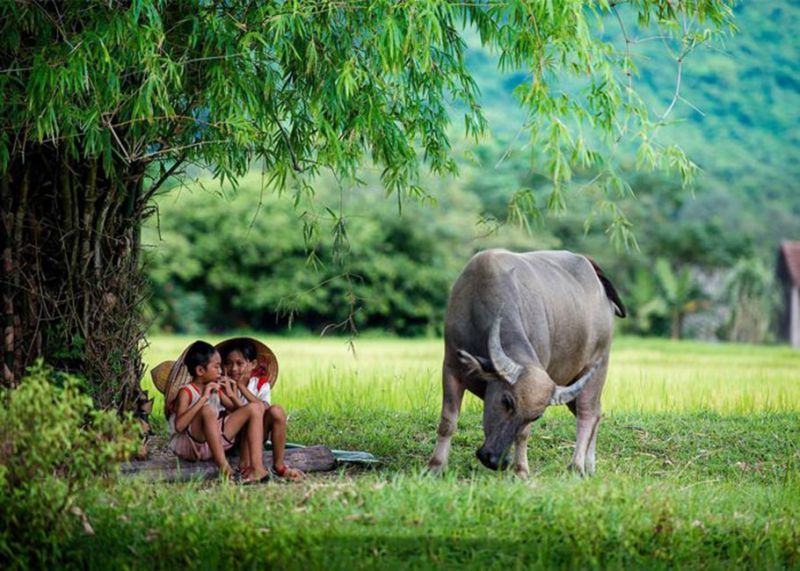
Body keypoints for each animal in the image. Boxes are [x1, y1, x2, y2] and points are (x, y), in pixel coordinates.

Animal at [432, 250, 624, 478]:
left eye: (536, 417)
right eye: (506, 401)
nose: (495, 460)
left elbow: (523, 434)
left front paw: (521, 470)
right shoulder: (451, 368)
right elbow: (447, 422)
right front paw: (435, 466)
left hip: (597, 368)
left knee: (587, 414)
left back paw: (577, 467)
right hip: (573, 383)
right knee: (595, 413)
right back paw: (589, 466)